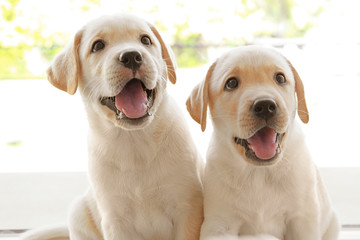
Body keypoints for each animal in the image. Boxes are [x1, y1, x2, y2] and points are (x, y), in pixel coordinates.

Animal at [21, 14, 204, 240]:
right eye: (98, 45)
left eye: (145, 40)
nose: (132, 56)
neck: (135, 142)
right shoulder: (115, 220)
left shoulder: (187, 209)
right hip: (78, 212)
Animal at [187, 46, 338, 239]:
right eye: (231, 83)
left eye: (280, 78)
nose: (265, 105)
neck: (259, 173)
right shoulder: (219, 225)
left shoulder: (302, 220)